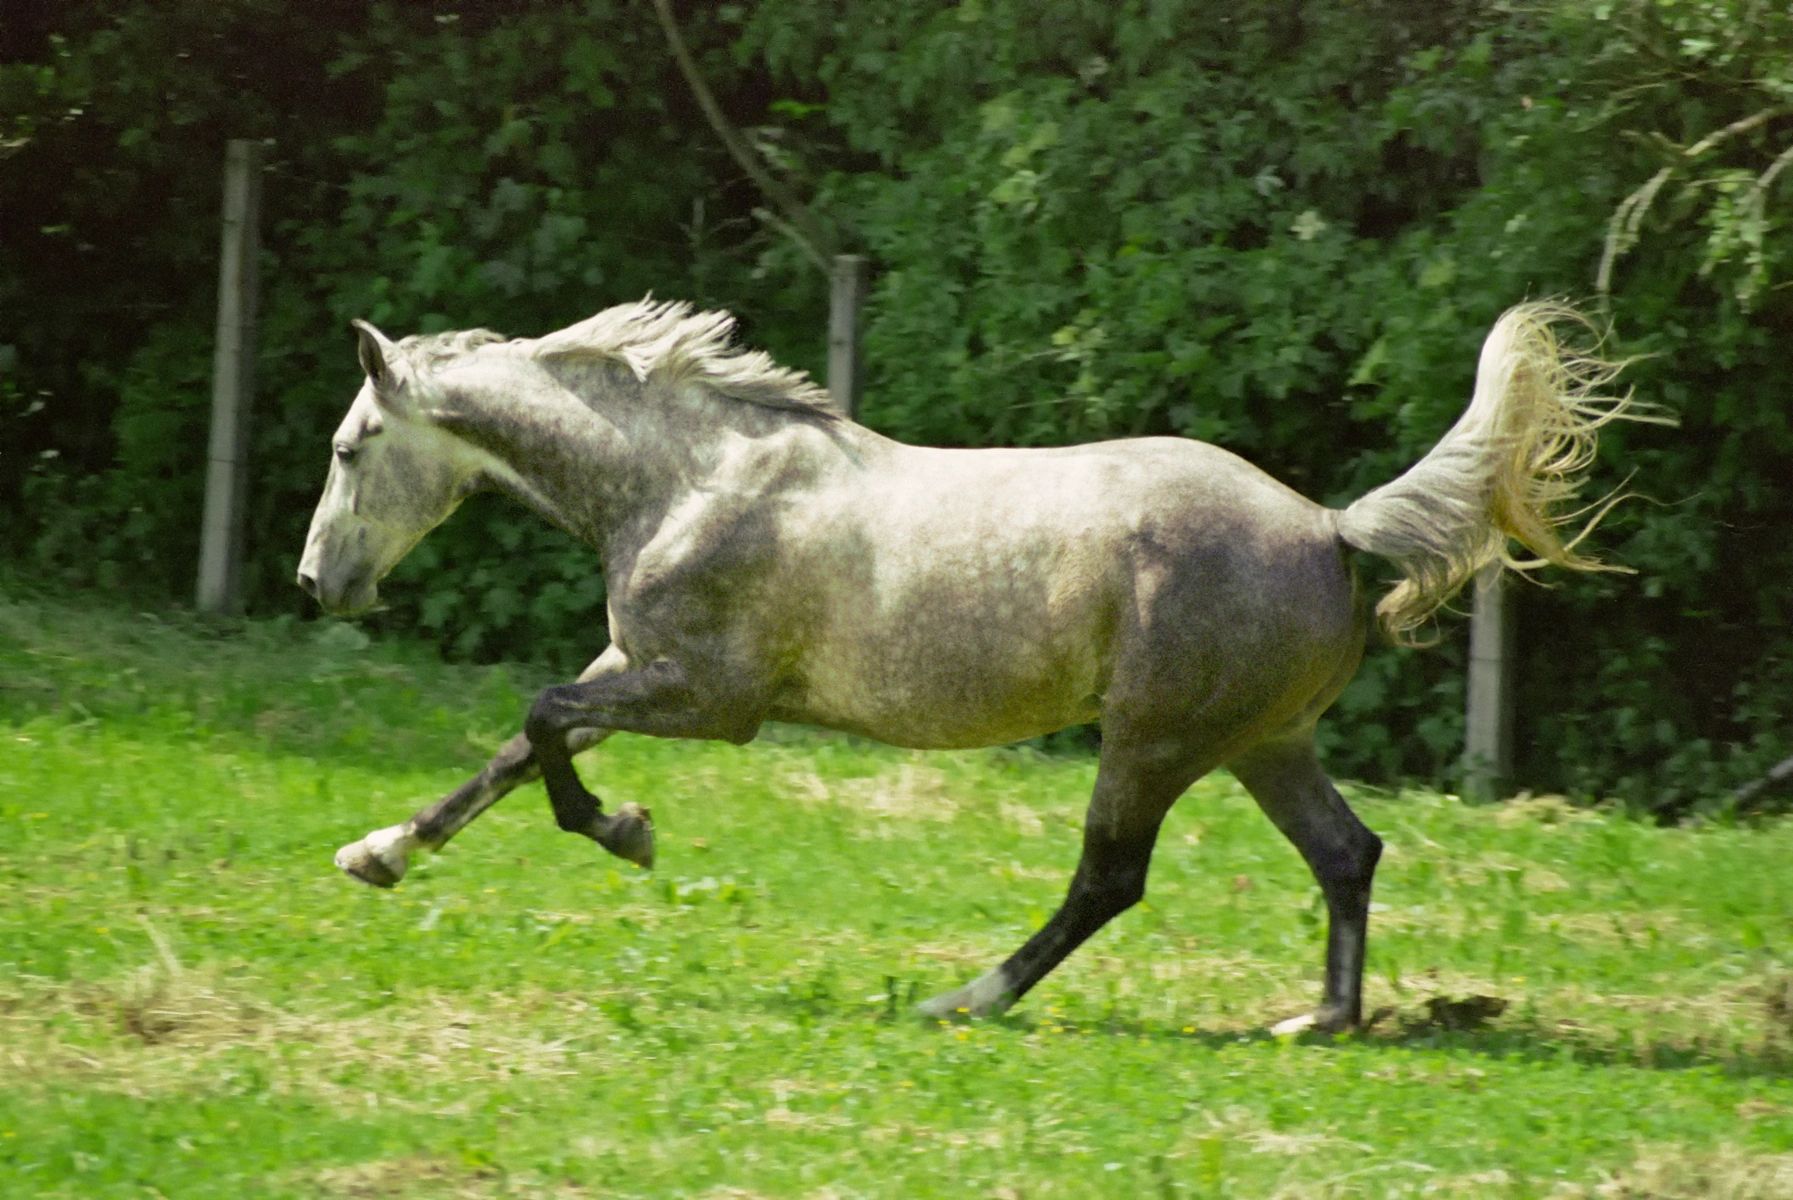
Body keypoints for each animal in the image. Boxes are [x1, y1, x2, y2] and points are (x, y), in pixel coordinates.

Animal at [297, 297, 1645, 1033]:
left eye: (352, 446)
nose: (318, 586)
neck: (689, 482)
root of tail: (1326, 526)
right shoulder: (638, 666)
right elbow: (513, 750)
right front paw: (377, 854)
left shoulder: (708, 699)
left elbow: (540, 725)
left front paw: (626, 832)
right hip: (1262, 744)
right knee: (1345, 854)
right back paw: (1314, 1021)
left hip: (1153, 742)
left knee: (1110, 879)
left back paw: (965, 1001)